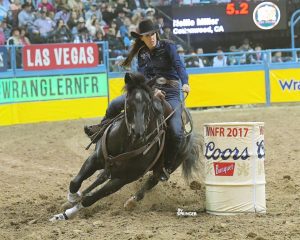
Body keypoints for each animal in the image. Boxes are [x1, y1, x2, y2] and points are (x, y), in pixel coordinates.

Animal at [49, 72, 202, 221]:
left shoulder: (124, 178)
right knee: (101, 177)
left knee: (152, 181)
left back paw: (132, 201)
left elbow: (90, 199)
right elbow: (75, 182)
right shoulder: (95, 159)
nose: (138, 132)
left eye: (148, 104)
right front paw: (71, 200)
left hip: (166, 167)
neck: (127, 143)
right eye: (127, 102)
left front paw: (65, 214)